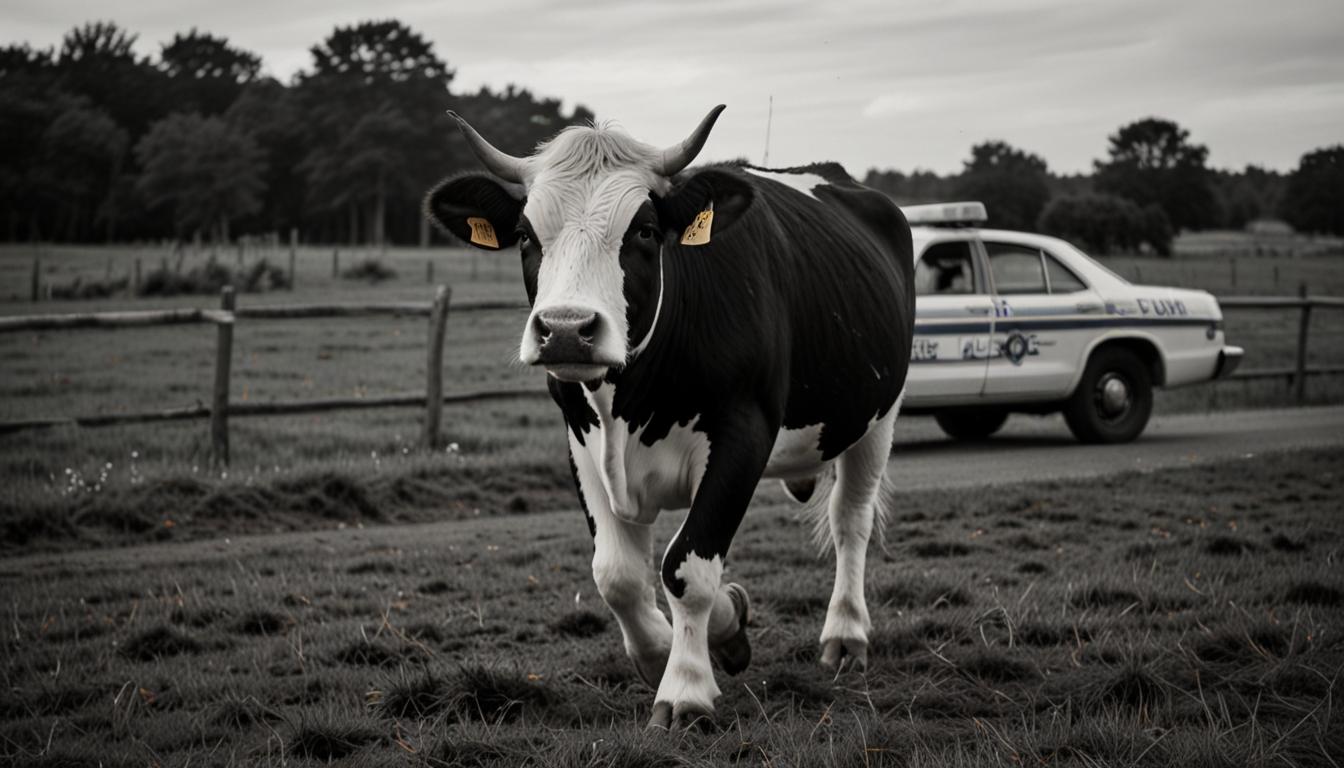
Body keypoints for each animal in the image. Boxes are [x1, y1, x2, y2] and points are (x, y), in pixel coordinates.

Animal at [424, 105, 914, 729]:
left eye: (644, 231)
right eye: (527, 236)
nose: (565, 329)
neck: (632, 401)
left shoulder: (743, 433)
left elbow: (687, 566)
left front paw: (685, 689)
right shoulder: (582, 441)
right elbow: (618, 575)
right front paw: (691, 640)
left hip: (878, 415)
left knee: (850, 520)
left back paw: (846, 636)